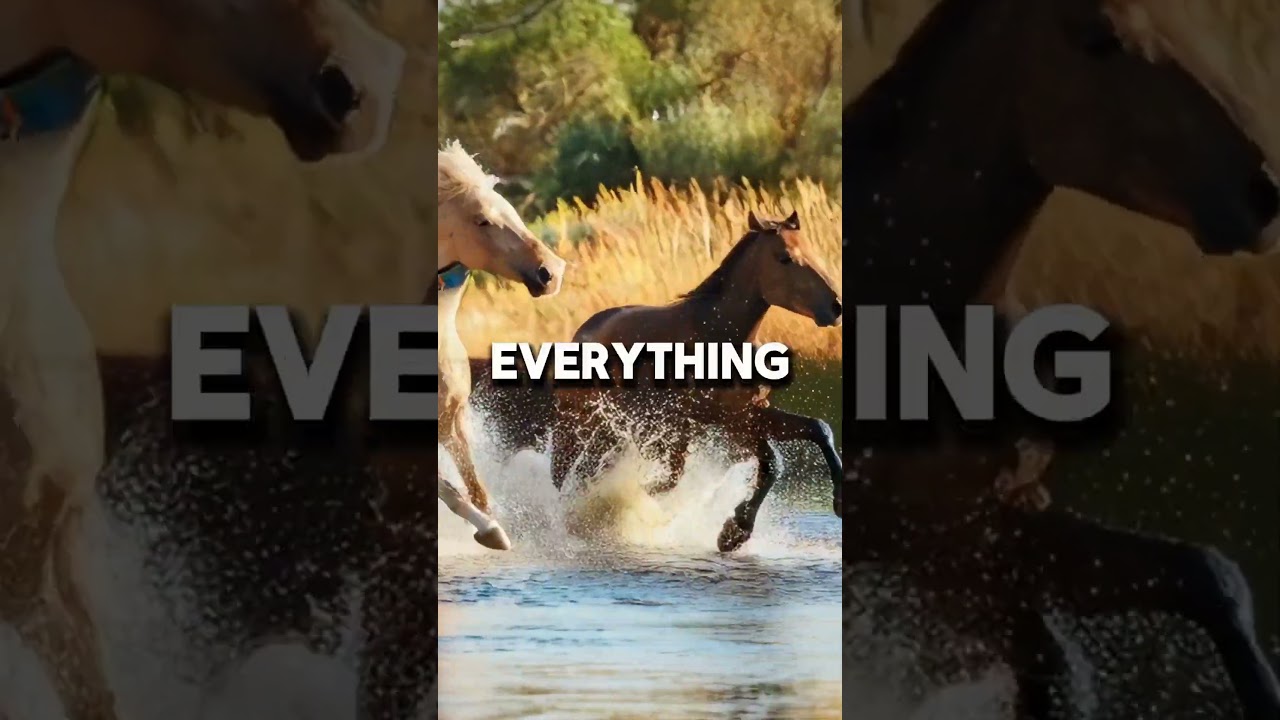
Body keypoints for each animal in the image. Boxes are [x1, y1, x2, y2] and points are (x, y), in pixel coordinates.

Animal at [436, 140, 566, 550]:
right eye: (481, 220)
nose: (552, 272)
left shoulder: (453, 420)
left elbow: (476, 489)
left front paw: (495, 530)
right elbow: (449, 490)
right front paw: (492, 532)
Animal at [545, 211, 843, 552]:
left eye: (811, 251)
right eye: (785, 258)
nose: (836, 307)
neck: (718, 336)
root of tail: (582, 332)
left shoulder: (746, 414)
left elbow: (812, 433)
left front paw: (736, 531)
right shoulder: (713, 421)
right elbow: (768, 462)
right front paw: (733, 529)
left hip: (619, 432)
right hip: (581, 427)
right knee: (567, 477)